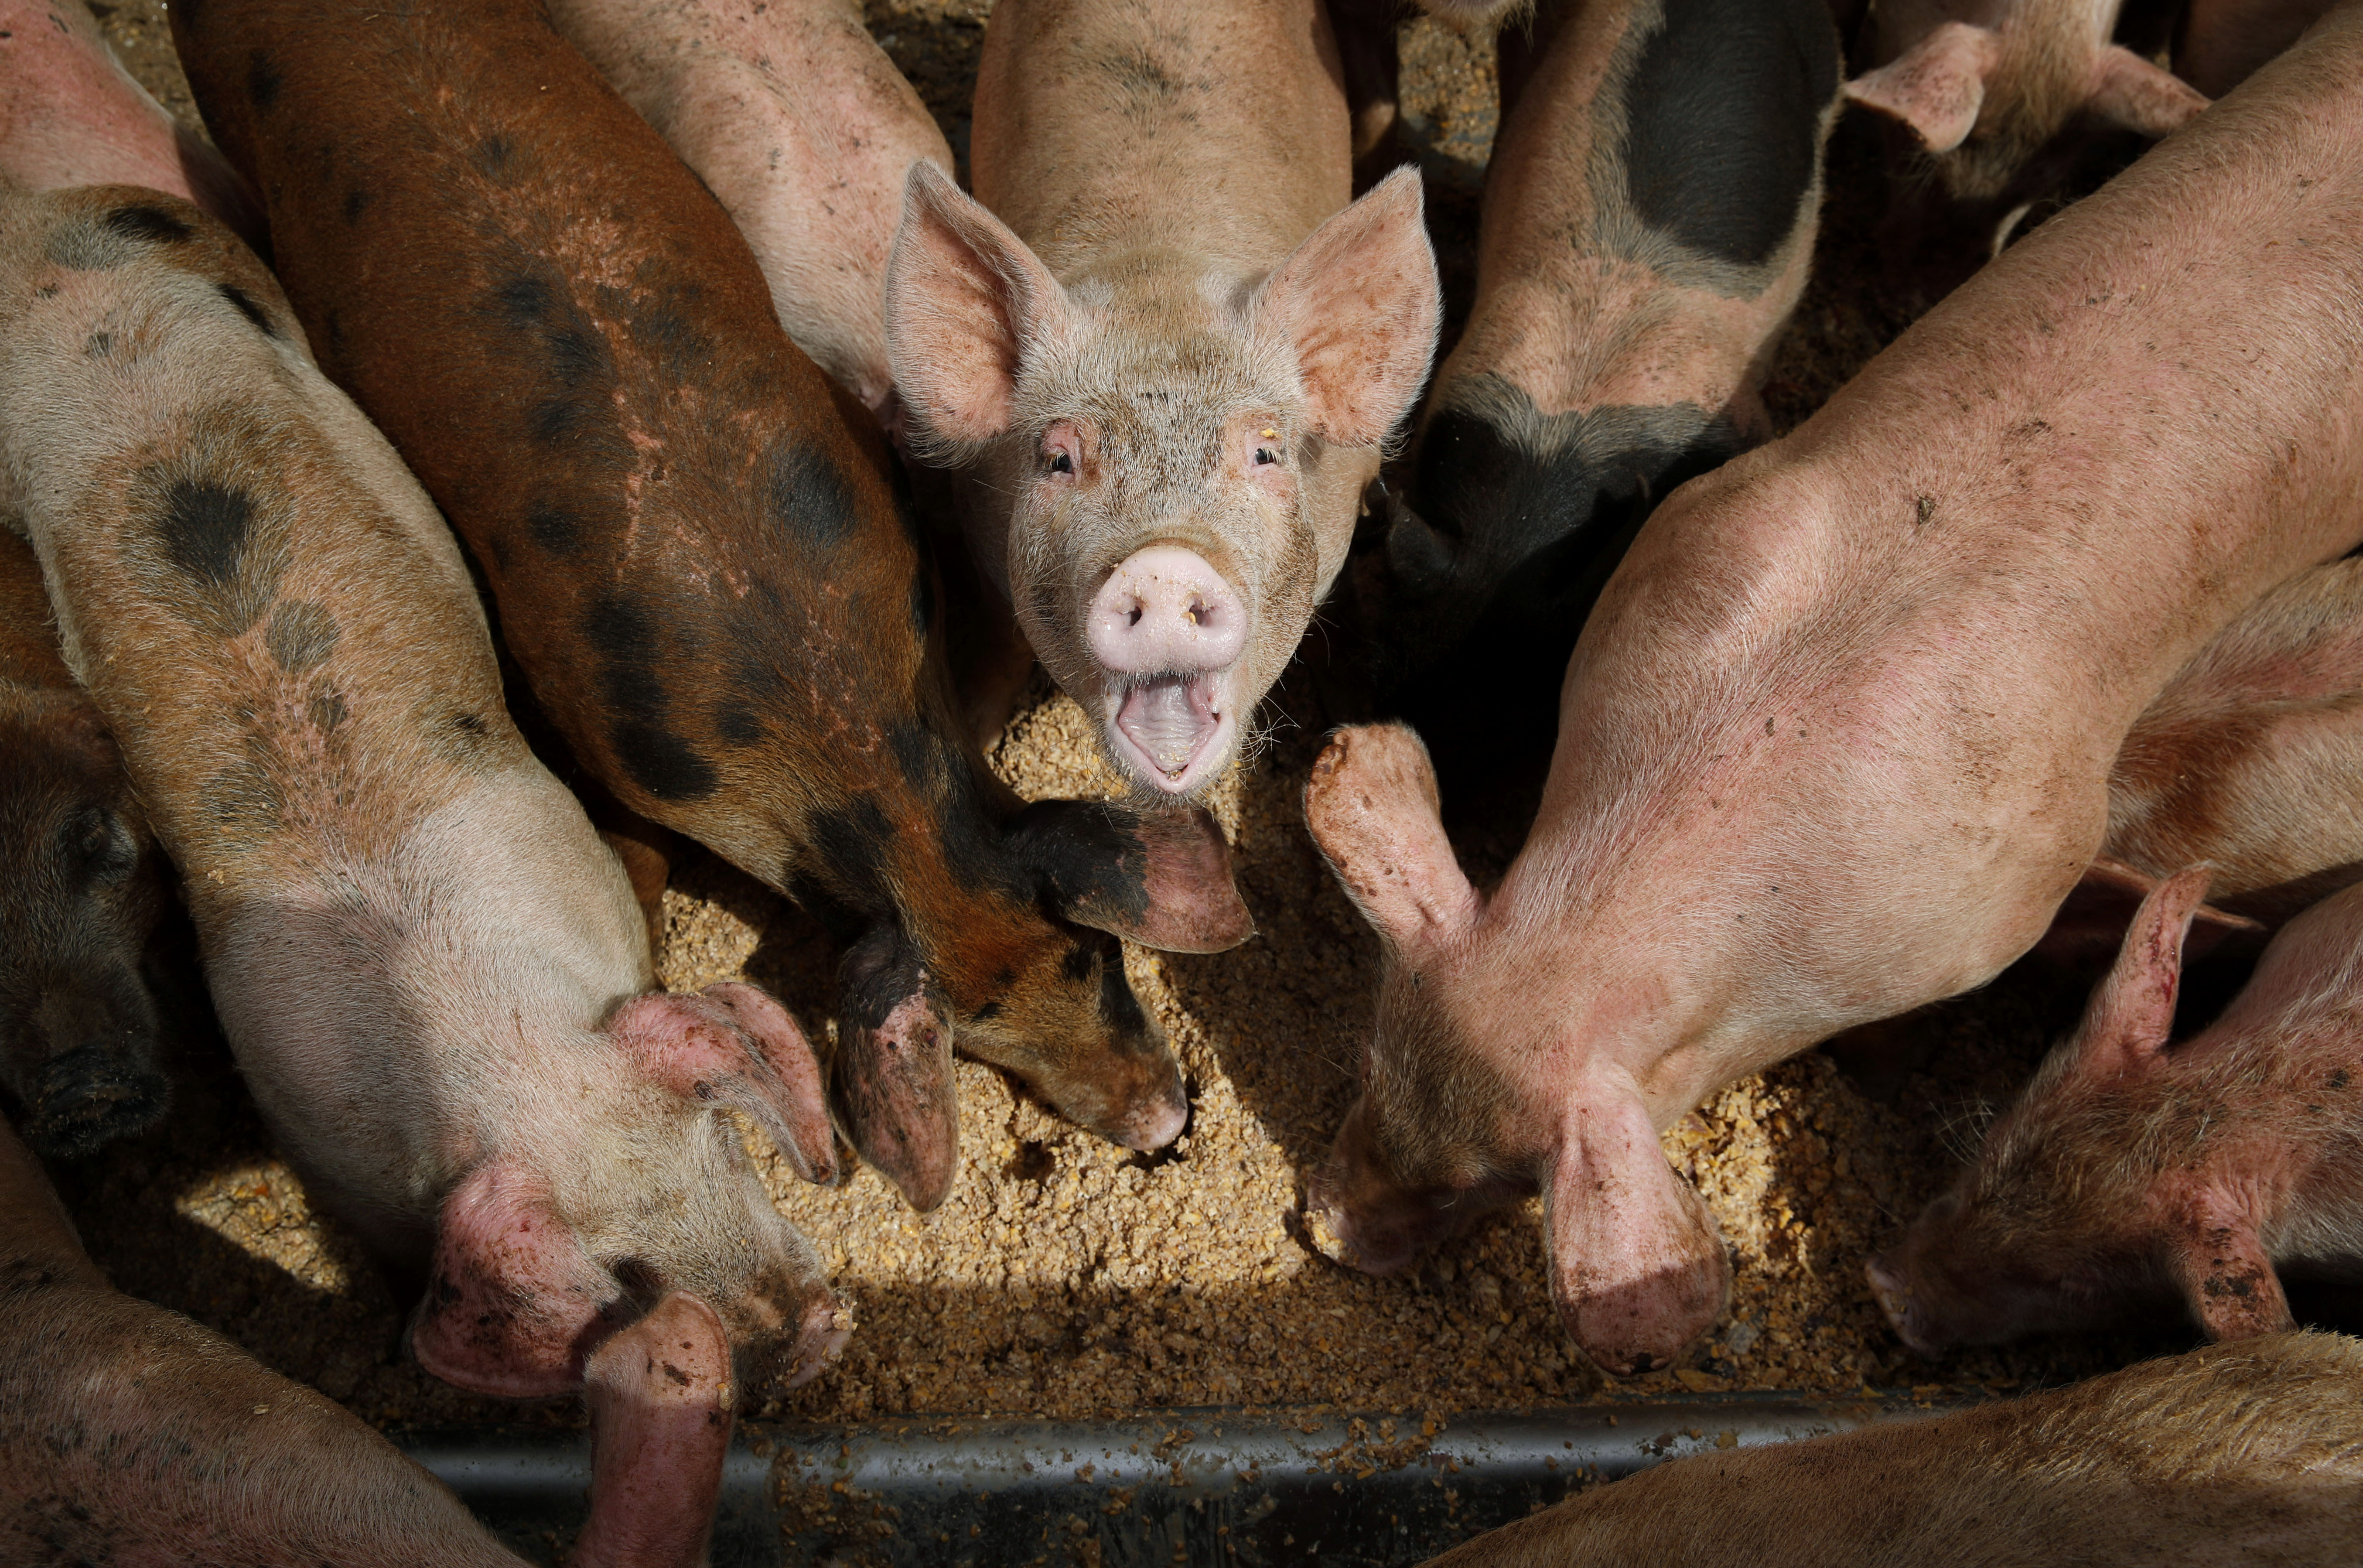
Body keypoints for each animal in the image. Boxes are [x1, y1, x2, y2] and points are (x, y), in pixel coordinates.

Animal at [883, 0, 1443, 801]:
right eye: (1057, 459)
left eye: (1266, 452)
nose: (1165, 561)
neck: (1159, 275)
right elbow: (1000, 637)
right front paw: (979, 732)